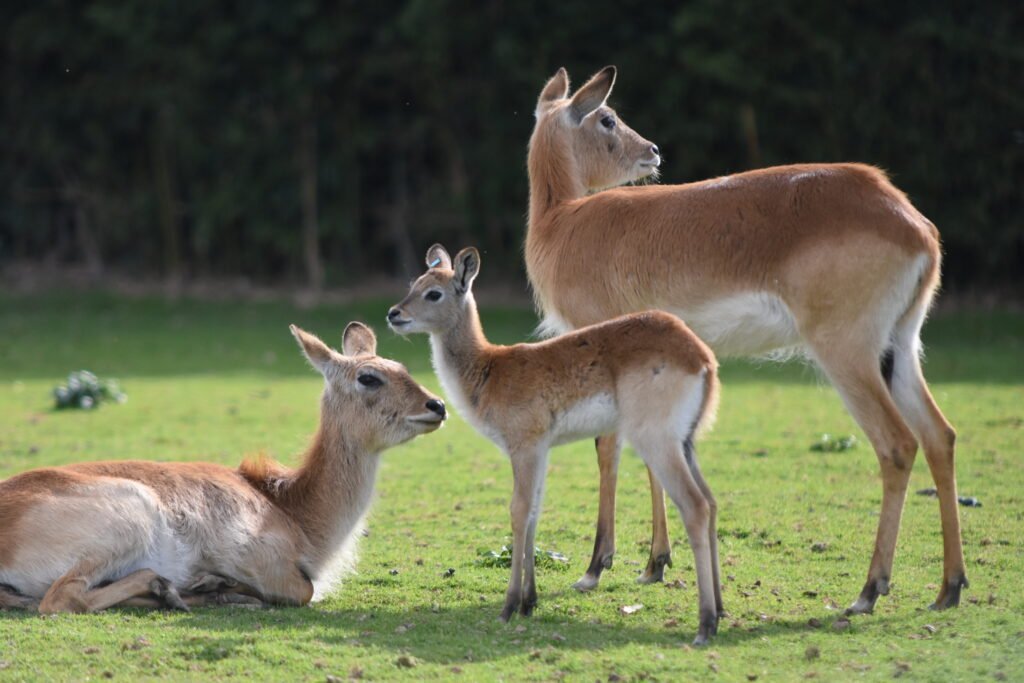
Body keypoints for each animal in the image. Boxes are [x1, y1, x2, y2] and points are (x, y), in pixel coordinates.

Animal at [1, 325, 448, 614]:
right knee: (61, 598)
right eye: (368, 377)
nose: (437, 405)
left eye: (402, 366)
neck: (293, 509)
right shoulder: (262, 559)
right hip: (131, 513)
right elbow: (304, 590)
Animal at [387, 245, 724, 647]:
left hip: (657, 441)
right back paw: (721, 611)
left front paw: (509, 606)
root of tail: (701, 357)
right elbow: (535, 512)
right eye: (415, 283)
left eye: (434, 293)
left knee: (695, 506)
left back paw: (705, 625)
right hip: (686, 443)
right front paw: (529, 602)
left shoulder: (524, 447)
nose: (394, 314)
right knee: (712, 502)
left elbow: (519, 511)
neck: (489, 369)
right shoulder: (542, 451)